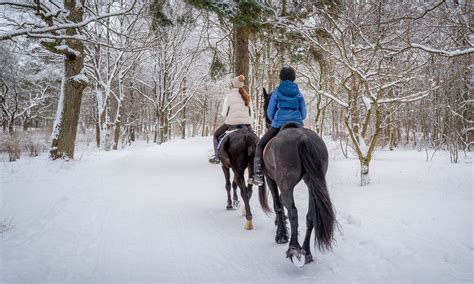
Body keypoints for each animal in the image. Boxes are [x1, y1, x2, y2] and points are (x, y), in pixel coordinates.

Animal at [258, 89, 336, 266]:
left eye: (266, 103)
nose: (267, 121)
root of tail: (303, 139)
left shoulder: (271, 179)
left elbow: (278, 205)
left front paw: (281, 235)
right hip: (312, 183)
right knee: (310, 216)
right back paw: (306, 252)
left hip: (286, 184)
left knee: (293, 211)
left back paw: (294, 248)